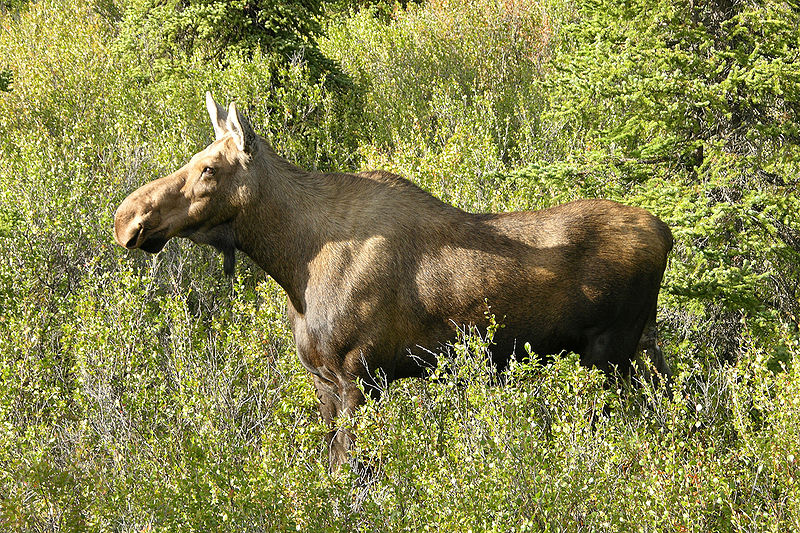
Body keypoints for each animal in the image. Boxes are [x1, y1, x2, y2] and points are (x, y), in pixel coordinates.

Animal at [114, 93, 676, 468]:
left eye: (209, 168)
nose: (126, 218)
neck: (293, 263)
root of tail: (667, 234)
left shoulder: (358, 375)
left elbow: (349, 471)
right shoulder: (323, 378)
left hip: (612, 352)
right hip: (638, 347)